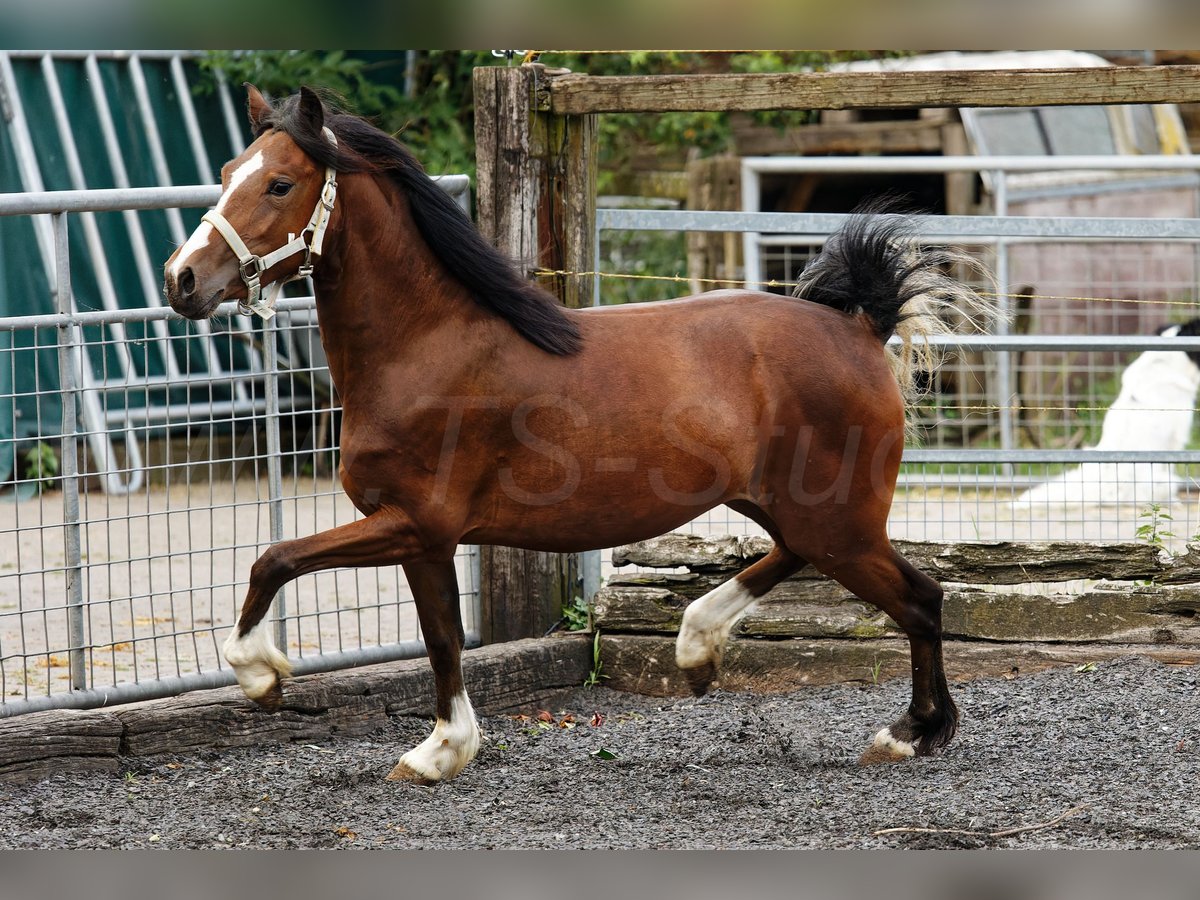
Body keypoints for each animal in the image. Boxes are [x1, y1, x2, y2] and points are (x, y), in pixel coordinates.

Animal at [164, 88, 988, 787]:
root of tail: (862, 327)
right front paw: (442, 750)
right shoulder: (422, 539)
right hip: (794, 509)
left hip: (837, 520)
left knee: (921, 598)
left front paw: (267, 678)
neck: (424, 346)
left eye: (279, 184)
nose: (182, 280)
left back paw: (909, 733)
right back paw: (697, 647)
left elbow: (282, 562)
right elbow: (437, 637)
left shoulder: (413, 524)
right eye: (228, 173)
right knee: (797, 559)